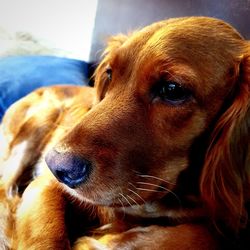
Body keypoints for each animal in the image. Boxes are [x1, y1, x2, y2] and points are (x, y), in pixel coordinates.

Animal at [0, 16, 249, 249]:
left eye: (173, 90)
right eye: (110, 74)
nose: (56, 166)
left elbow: (203, 235)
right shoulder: (45, 186)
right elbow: (45, 238)